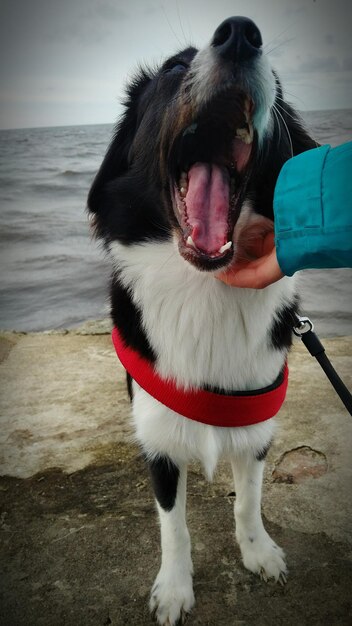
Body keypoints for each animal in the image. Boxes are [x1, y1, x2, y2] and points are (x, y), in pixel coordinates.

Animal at [88, 15, 316, 624]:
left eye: (279, 84)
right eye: (172, 67)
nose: (240, 33)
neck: (206, 293)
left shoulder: (258, 429)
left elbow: (250, 502)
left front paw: (258, 553)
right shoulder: (161, 441)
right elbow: (174, 527)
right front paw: (173, 589)